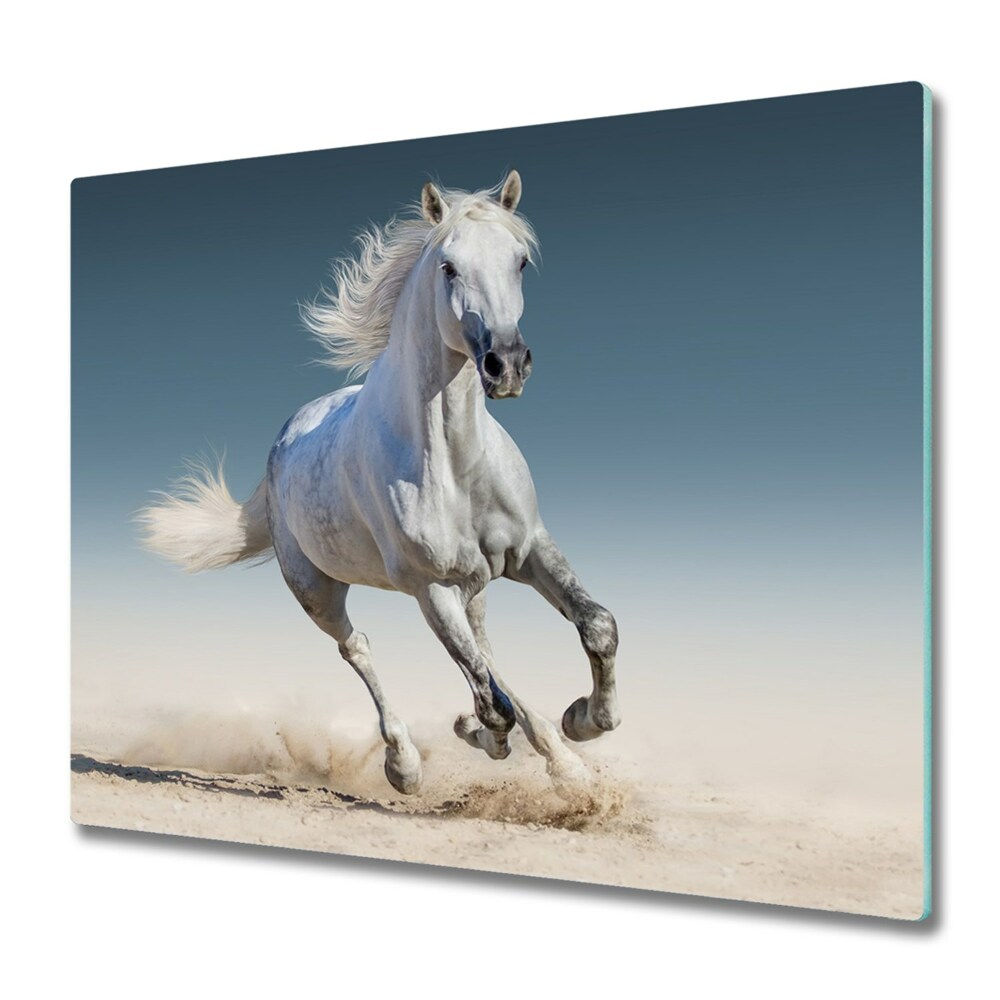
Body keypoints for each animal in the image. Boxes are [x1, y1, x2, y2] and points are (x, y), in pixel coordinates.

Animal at [138, 171, 621, 797]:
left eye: (520, 261)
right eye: (448, 267)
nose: (506, 364)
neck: (455, 462)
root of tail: (283, 440)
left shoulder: (529, 548)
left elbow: (595, 627)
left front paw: (583, 721)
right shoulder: (429, 586)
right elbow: (491, 701)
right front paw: (489, 734)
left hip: (474, 582)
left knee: (484, 650)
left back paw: (562, 762)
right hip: (318, 592)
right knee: (360, 648)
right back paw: (405, 764)